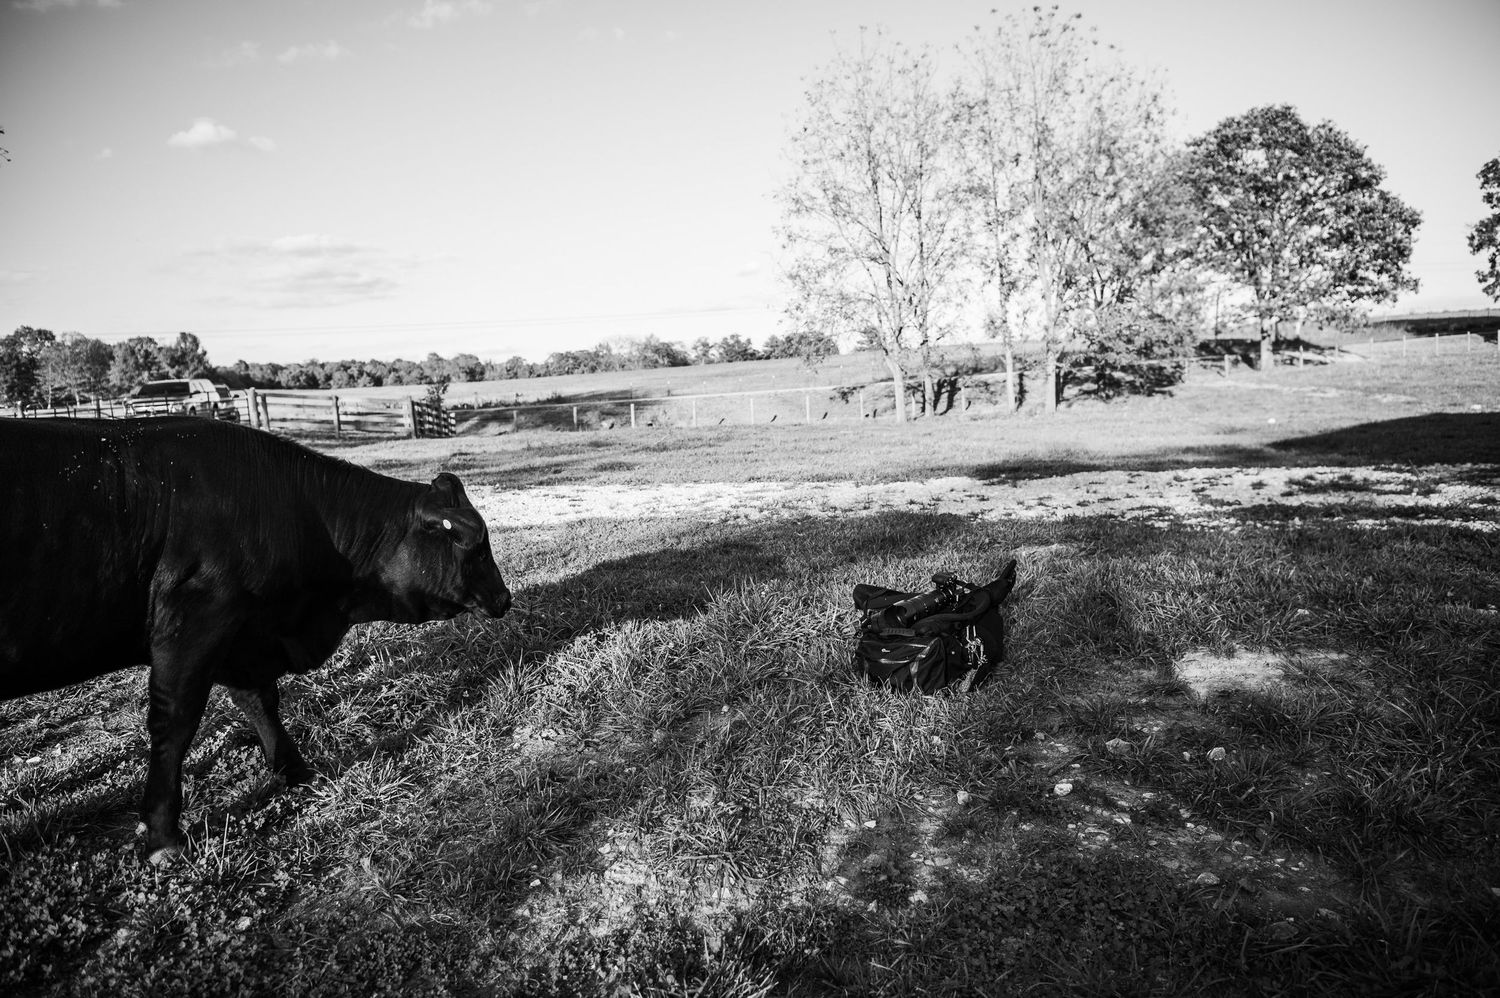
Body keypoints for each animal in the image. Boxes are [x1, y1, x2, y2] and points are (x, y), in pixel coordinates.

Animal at [0, 416, 511, 862]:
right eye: (473, 544)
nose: (504, 597)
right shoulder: (193, 623)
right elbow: (175, 725)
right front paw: (163, 834)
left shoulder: (243, 636)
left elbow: (260, 702)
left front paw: (295, 770)